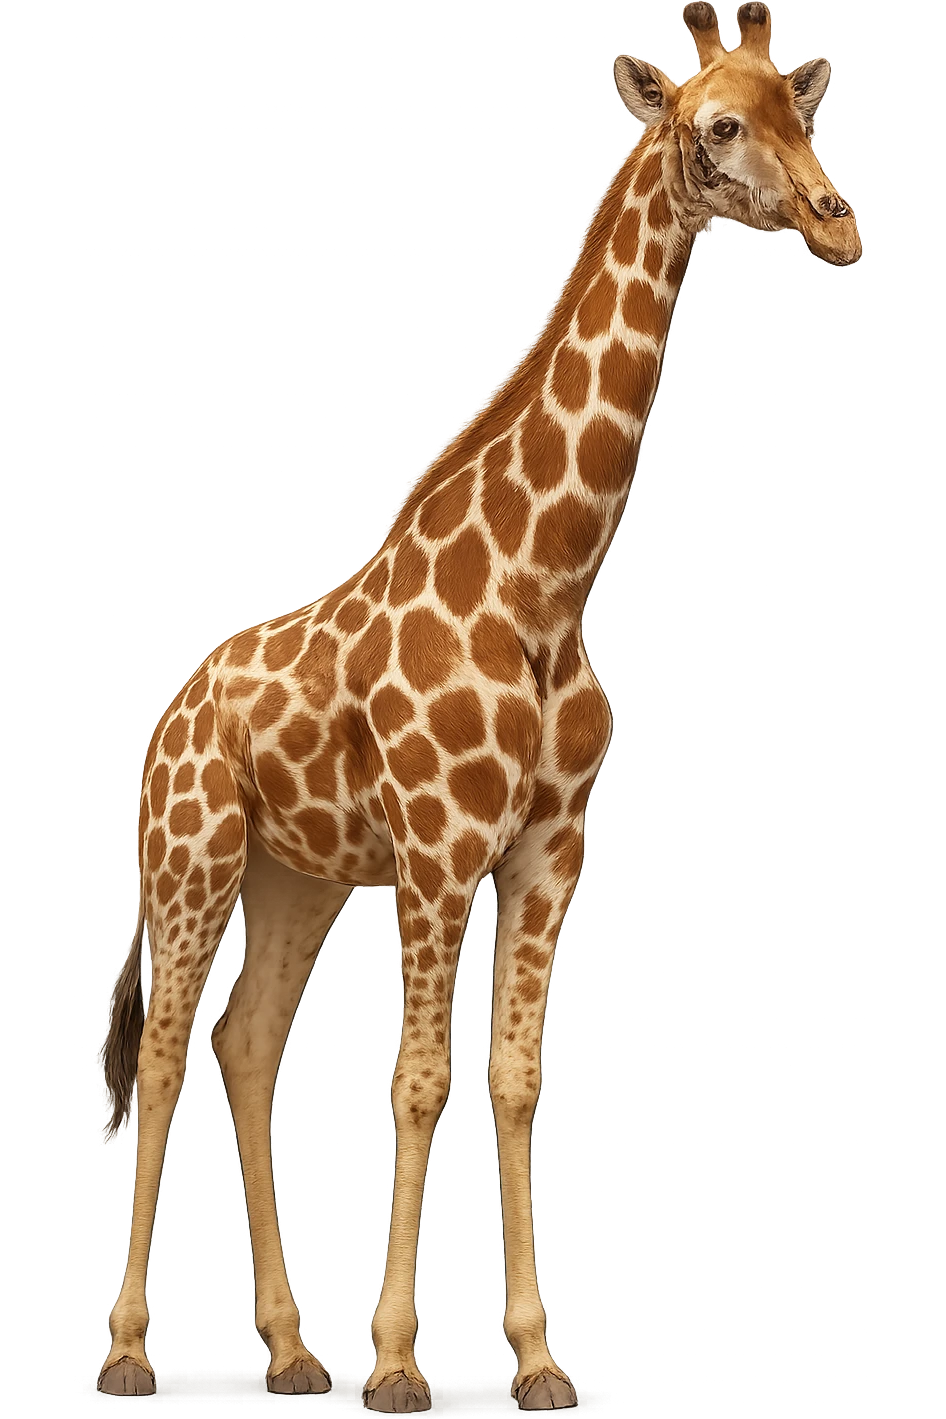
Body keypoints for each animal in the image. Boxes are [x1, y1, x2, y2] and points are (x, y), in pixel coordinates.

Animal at [98, 4, 861, 1409]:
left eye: (809, 111)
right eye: (722, 123)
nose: (839, 225)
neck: (545, 581)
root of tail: (169, 713)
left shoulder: (552, 848)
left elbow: (511, 1078)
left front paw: (538, 1358)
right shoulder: (441, 849)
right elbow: (416, 1080)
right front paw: (399, 1363)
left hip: (299, 877)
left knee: (244, 1044)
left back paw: (292, 1354)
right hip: (191, 857)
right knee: (168, 1048)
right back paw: (130, 1352)